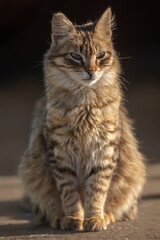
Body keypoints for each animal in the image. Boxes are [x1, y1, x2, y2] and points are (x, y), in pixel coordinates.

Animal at [18, 7, 145, 232]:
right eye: (76, 56)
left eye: (100, 55)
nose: (91, 71)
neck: (85, 103)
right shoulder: (59, 153)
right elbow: (69, 194)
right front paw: (73, 218)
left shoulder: (104, 150)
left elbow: (97, 191)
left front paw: (94, 219)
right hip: (30, 171)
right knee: (44, 209)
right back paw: (58, 217)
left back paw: (107, 215)